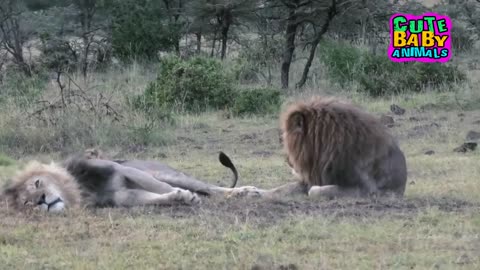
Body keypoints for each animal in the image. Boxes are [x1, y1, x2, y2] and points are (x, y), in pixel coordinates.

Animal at [1, 150, 244, 211]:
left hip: (166, 172)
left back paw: (247, 192)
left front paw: (188, 197)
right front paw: (178, 198)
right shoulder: (121, 196)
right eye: (27, 203)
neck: (80, 189)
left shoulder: (120, 169)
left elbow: (160, 187)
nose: (41, 200)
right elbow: (157, 197)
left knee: (212, 188)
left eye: (37, 183)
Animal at [227, 96, 406, 199]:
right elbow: (282, 188)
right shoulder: (313, 176)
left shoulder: (368, 190)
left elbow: (316, 191)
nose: (288, 161)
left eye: (286, 141)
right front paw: (251, 192)